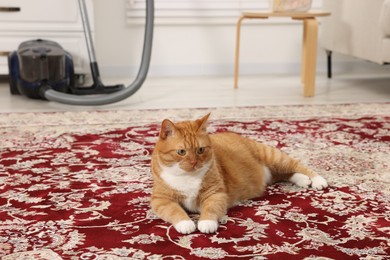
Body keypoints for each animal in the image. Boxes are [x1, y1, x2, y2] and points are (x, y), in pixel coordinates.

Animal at [151, 113, 328, 234]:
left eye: (200, 150)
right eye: (181, 152)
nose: (194, 162)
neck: (188, 177)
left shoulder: (216, 193)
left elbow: (211, 207)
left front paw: (206, 222)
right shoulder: (161, 199)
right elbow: (174, 210)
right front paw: (185, 223)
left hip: (273, 156)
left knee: (296, 165)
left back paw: (317, 180)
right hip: (274, 170)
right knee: (285, 174)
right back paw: (303, 180)